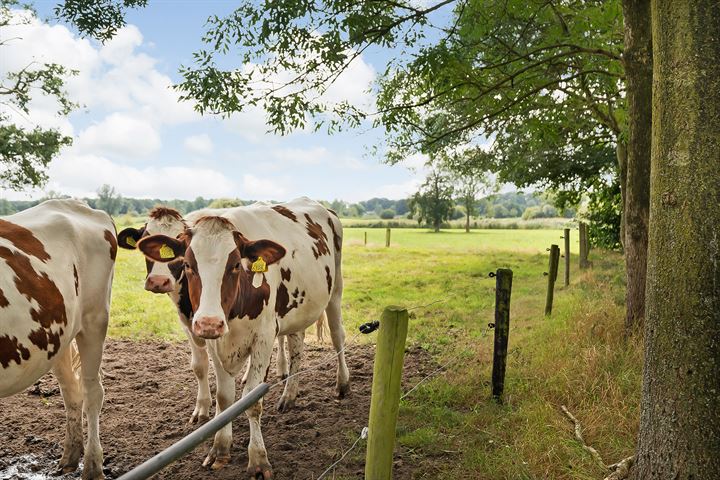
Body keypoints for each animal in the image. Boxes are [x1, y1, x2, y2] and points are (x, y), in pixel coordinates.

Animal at [0, 199, 115, 480]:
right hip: (58, 335)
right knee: (71, 390)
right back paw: (70, 458)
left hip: (94, 320)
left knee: (92, 391)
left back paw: (93, 466)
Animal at [136, 198, 350, 476]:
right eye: (188, 265)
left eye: (236, 265)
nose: (209, 322)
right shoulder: (213, 340)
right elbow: (224, 398)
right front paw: (220, 448)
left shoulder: (264, 337)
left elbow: (252, 400)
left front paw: (258, 458)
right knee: (296, 347)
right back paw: (289, 395)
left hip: (335, 291)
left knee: (337, 335)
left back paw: (342, 383)